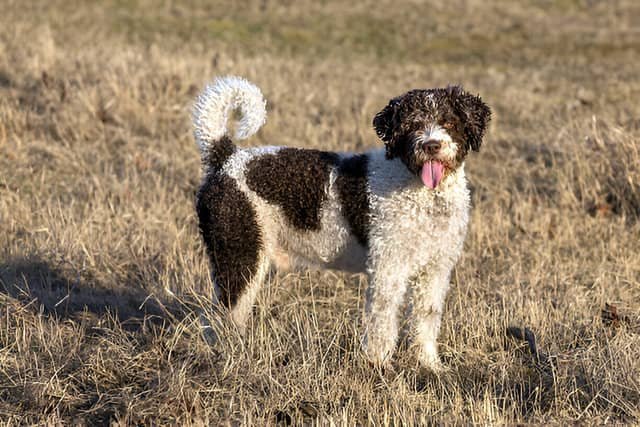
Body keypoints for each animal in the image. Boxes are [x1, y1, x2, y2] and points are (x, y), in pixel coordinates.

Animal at [192, 75, 492, 370]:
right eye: (413, 124)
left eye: (448, 122)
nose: (431, 146)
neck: (422, 192)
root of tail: (227, 158)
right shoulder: (388, 269)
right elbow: (382, 322)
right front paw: (379, 366)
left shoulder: (435, 270)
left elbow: (426, 319)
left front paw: (429, 364)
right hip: (239, 255)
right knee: (219, 316)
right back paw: (228, 357)